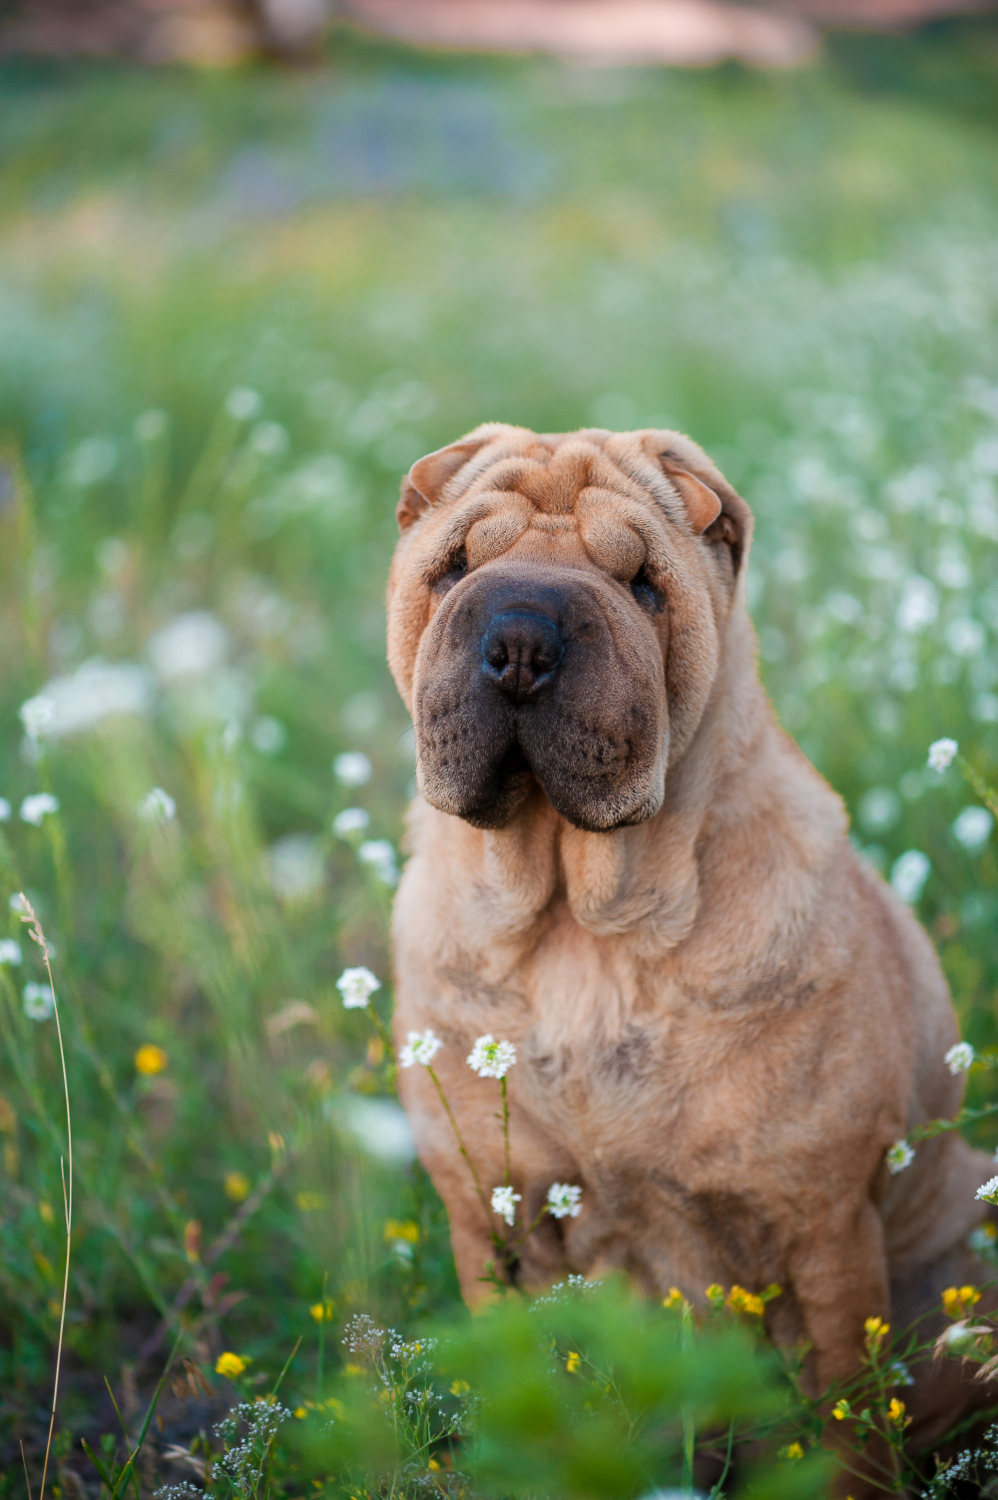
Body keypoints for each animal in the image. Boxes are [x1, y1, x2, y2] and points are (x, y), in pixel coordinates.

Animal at [384, 429, 990, 1482]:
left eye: (642, 584)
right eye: (454, 567)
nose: (521, 641)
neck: (580, 937)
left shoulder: (822, 1225)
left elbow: (844, 1424)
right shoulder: (488, 1218)